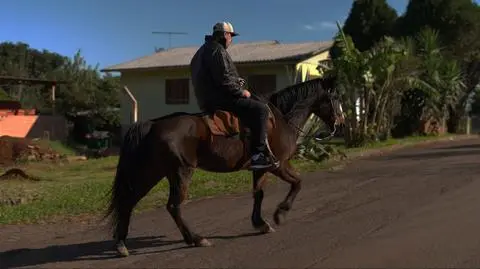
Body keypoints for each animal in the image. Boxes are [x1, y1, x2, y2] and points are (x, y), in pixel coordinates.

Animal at [105, 76, 344, 255]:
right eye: (335, 97)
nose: (340, 123)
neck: (281, 119)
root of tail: (153, 124)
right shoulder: (277, 164)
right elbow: (298, 183)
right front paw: (280, 214)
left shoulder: (261, 168)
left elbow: (259, 194)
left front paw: (260, 223)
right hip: (180, 172)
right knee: (172, 206)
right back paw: (196, 238)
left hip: (153, 173)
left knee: (129, 201)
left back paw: (122, 244)